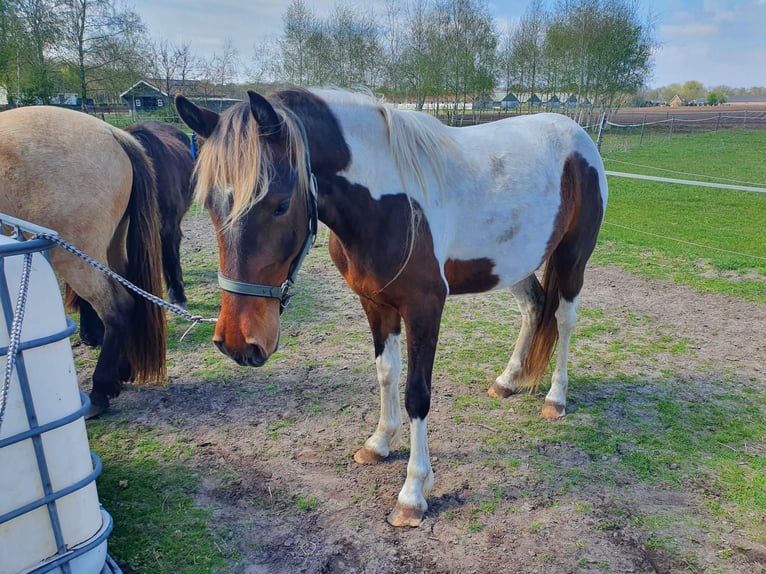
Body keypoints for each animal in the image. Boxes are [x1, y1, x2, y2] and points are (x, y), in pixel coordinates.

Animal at [0, 106, 167, 418]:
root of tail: (113, 133)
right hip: (109, 245)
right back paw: (121, 372)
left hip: (76, 253)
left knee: (117, 307)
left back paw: (100, 391)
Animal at [175, 88, 608, 527]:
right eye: (210, 204)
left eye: (279, 204)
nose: (237, 343)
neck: (386, 203)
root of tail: (577, 137)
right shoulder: (375, 304)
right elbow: (386, 373)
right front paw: (379, 442)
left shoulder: (424, 307)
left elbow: (418, 393)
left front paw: (413, 493)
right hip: (514, 263)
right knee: (534, 309)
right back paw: (506, 381)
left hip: (573, 258)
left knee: (564, 319)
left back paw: (556, 398)